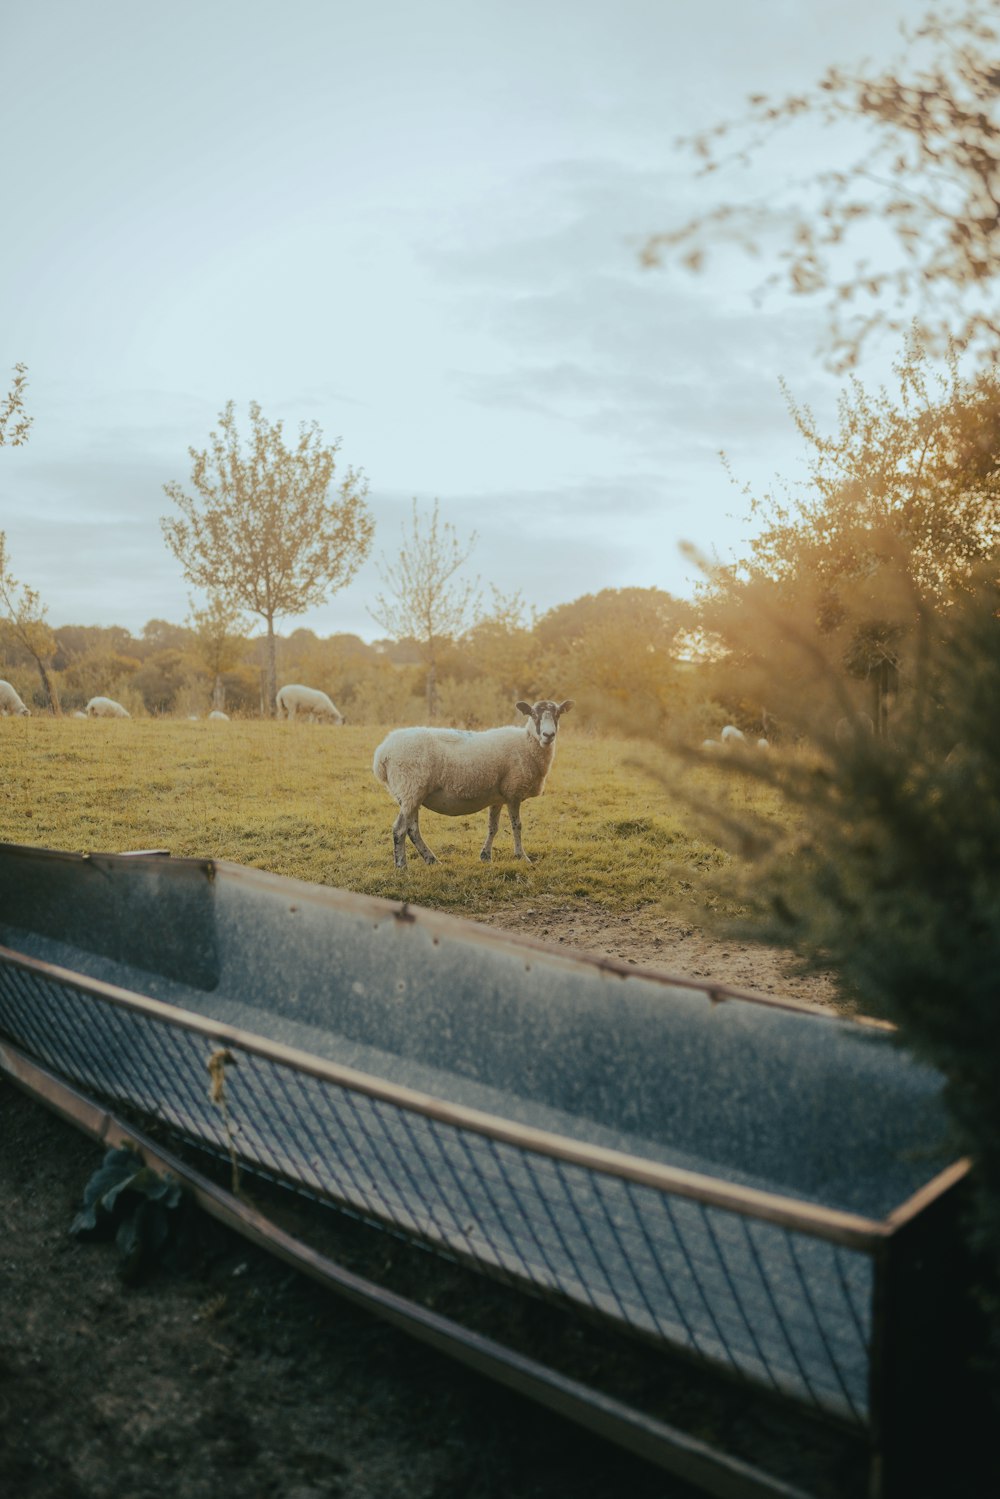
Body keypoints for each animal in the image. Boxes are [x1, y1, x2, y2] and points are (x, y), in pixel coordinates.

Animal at [373, 698, 578, 875]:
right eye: (534, 714)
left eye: (558, 714)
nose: (548, 735)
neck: (527, 744)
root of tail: (382, 754)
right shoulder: (513, 791)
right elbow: (517, 826)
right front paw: (522, 857)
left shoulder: (499, 796)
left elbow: (493, 827)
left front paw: (485, 856)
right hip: (411, 789)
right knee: (399, 829)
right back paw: (402, 866)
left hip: (412, 794)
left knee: (412, 830)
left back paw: (431, 860)